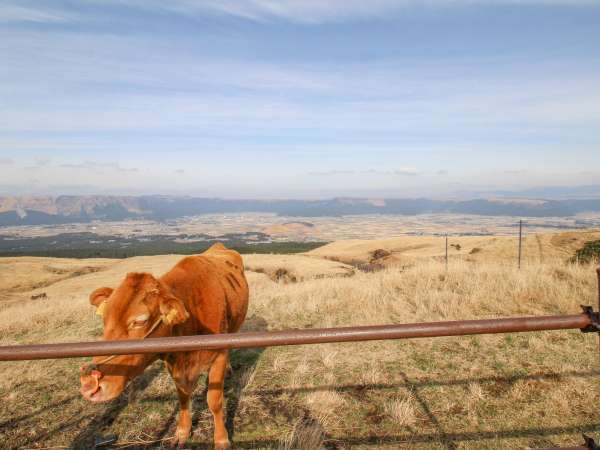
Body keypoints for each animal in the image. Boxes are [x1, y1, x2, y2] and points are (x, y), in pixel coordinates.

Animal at [79, 244, 248, 448]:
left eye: (140, 321)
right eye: (104, 318)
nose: (90, 384)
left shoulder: (219, 355)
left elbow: (214, 400)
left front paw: (221, 439)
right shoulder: (173, 363)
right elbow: (182, 396)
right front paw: (182, 432)